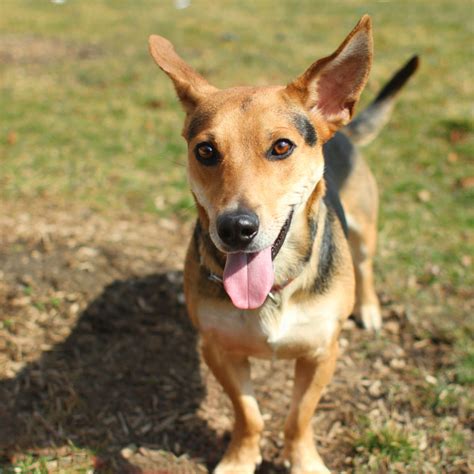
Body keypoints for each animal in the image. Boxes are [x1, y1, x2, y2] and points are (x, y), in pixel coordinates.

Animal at [149, 15, 418, 474]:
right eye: (206, 151)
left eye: (281, 147)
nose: (235, 228)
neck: (277, 288)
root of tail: (341, 128)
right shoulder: (218, 349)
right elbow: (249, 414)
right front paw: (240, 459)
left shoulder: (322, 353)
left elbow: (299, 416)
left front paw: (304, 461)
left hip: (364, 230)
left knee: (365, 267)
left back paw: (369, 309)